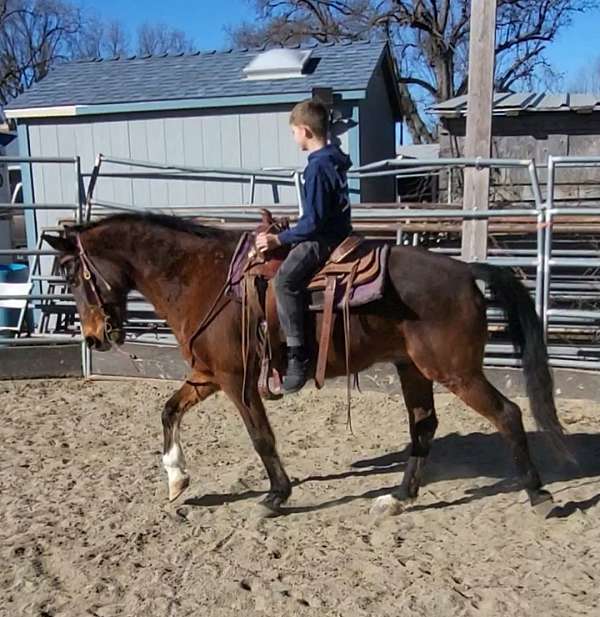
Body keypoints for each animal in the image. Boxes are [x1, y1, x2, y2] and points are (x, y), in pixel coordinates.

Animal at [44, 212, 568, 516]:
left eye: (71, 274)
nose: (94, 336)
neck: (201, 277)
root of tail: (464, 270)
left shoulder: (236, 380)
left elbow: (261, 437)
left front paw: (277, 495)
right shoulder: (208, 376)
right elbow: (169, 410)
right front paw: (176, 479)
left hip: (456, 372)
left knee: (507, 414)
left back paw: (539, 496)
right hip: (414, 370)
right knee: (424, 426)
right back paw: (399, 497)